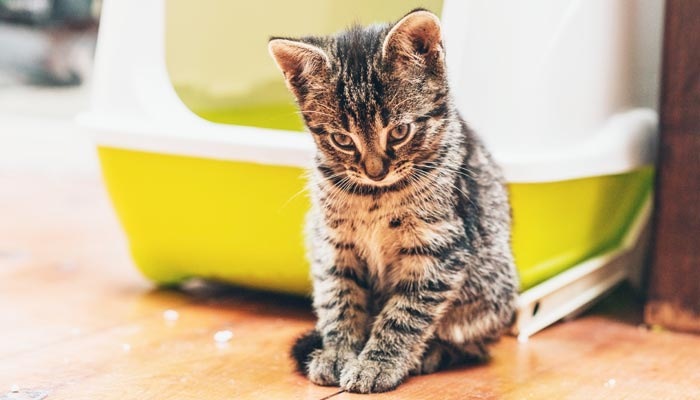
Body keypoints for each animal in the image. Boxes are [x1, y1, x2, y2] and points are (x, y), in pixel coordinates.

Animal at [270, 8, 516, 394]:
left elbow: (406, 313)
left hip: (493, 287)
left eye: (399, 132)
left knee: (475, 344)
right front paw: (338, 353)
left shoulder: (439, 247)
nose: (375, 171)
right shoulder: (333, 243)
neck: (375, 196)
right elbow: (339, 298)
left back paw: (433, 353)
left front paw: (377, 363)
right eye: (342, 139)